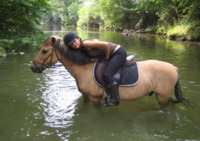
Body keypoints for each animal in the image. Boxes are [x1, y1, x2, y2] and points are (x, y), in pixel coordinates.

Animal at [30, 35, 184, 106]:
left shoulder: (95, 99)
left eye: (44, 51)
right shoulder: (86, 97)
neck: (84, 69)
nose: (32, 67)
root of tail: (174, 68)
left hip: (162, 96)